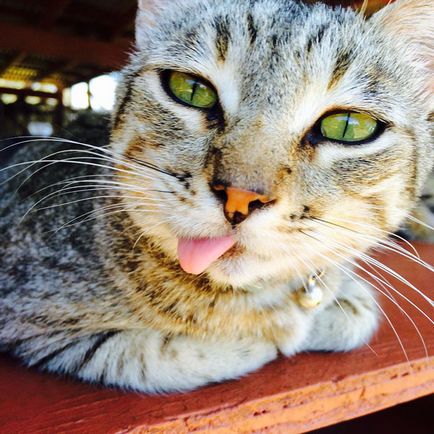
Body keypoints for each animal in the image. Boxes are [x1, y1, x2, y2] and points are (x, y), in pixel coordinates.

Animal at [0, 0, 432, 394]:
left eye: (347, 126)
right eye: (191, 90)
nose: (240, 197)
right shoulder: (37, 321)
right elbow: (159, 355)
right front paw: (275, 334)